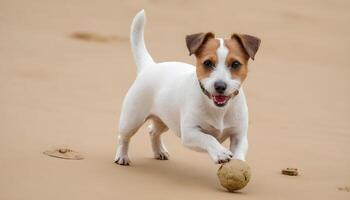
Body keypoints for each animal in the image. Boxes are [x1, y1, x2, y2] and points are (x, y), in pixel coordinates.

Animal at [115, 9, 260, 166]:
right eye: (207, 63)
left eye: (235, 64)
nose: (220, 86)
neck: (218, 110)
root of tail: (150, 66)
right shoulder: (190, 133)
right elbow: (209, 138)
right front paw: (220, 152)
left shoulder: (239, 136)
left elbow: (238, 151)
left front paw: (238, 163)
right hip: (131, 120)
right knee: (123, 137)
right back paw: (122, 156)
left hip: (165, 119)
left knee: (152, 131)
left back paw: (159, 151)